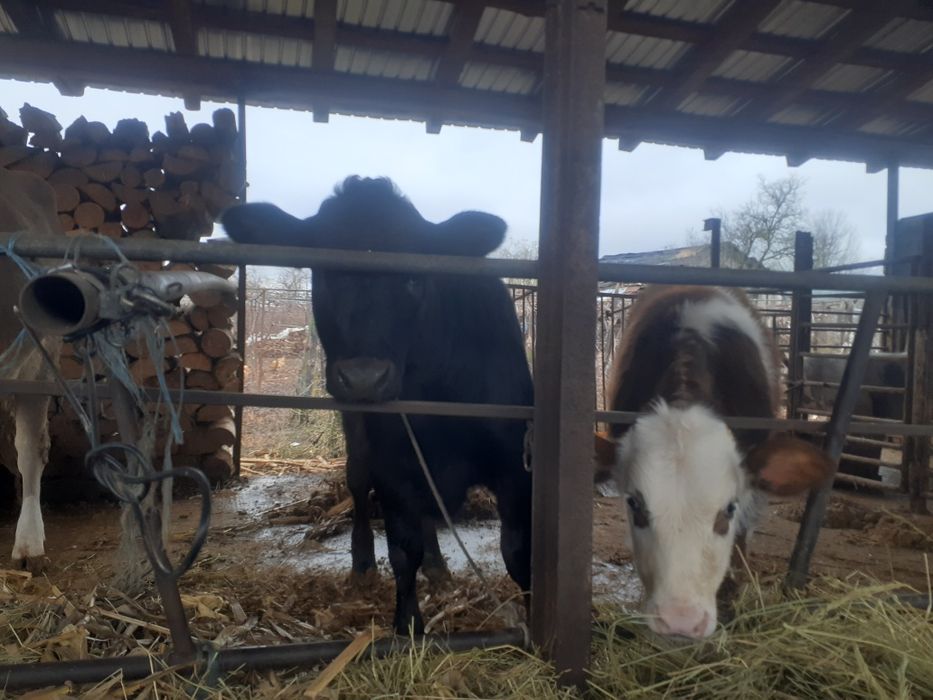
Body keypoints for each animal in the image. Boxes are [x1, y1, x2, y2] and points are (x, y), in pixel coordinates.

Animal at [222, 176, 533, 634]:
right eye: (326, 271)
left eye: (414, 278)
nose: (364, 377)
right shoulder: (392, 466)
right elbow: (403, 550)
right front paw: (407, 626)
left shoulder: (516, 462)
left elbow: (518, 551)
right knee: (357, 480)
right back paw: (363, 564)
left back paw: (438, 569)